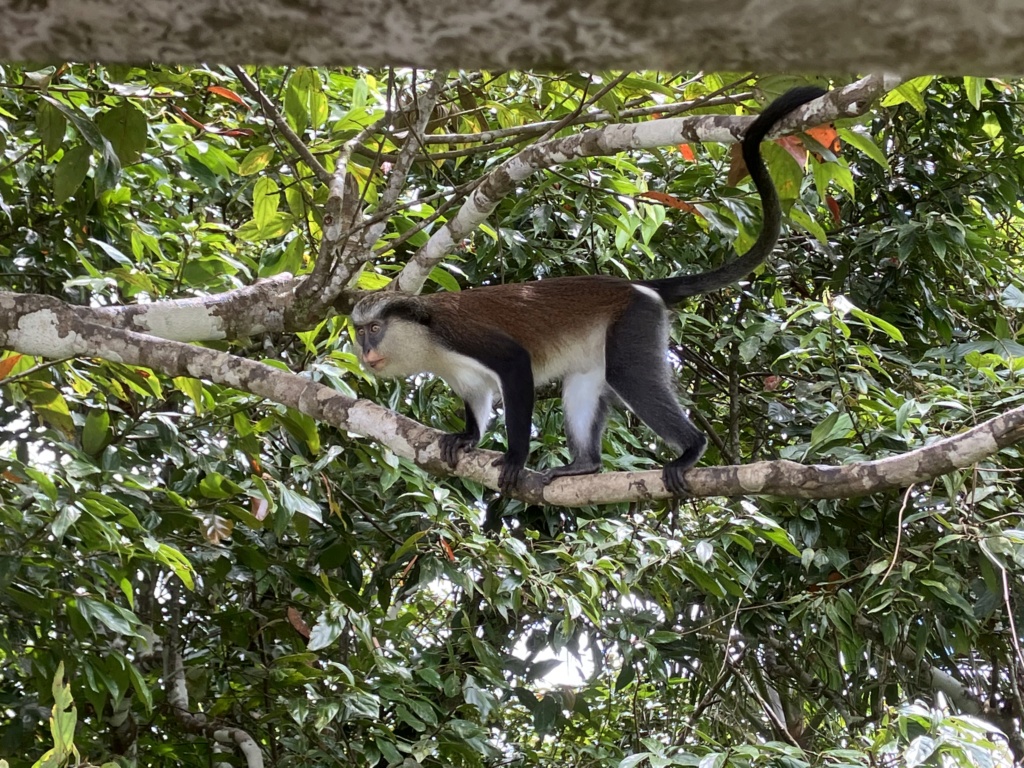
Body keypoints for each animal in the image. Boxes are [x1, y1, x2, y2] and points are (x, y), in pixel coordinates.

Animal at [350, 88, 823, 499]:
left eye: (374, 328)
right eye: (359, 332)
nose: (365, 351)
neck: (427, 337)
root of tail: (632, 285)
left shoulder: (464, 335)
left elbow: (515, 365)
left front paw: (515, 458)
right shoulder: (462, 375)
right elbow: (477, 399)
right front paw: (467, 436)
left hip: (634, 320)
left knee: (628, 375)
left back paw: (690, 450)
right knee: (582, 386)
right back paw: (584, 465)